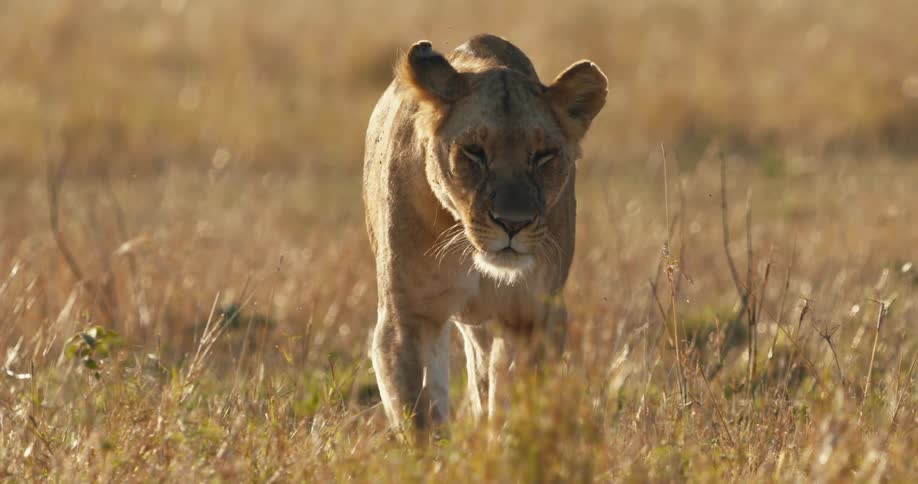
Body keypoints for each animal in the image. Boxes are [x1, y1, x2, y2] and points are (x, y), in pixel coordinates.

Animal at [363, 34, 607, 437]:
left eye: (544, 155)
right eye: (474, 152)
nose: (513, 223)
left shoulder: (535, 317)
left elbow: (520, 399)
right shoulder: (406, 317)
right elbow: (417, 415)